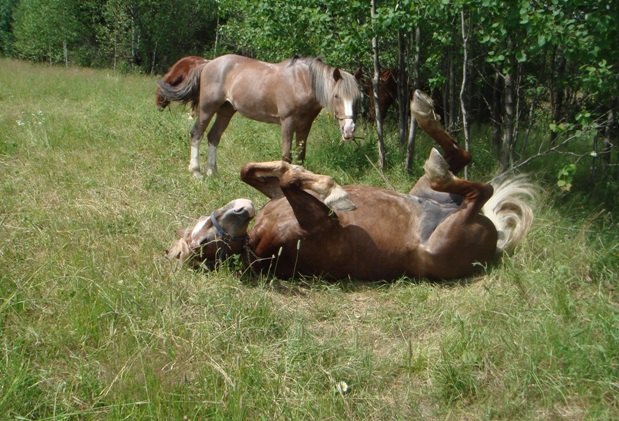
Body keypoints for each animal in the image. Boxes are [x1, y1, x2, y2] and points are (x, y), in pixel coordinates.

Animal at [159, 53, 364, 176]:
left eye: (358, 98)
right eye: (337, 96)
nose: (349, 130)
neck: (302, 82)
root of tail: (208, 63)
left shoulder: (306, 124)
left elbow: (300, 155)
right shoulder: (288, 122)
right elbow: (286, 156)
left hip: (226, 111)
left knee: (213, 137)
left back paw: (212, 172)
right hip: (207, 109)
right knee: (196, 134)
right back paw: (196, 172)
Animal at [166, 90, 536, 278]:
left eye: (201, 228)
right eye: (202, 247)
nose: (241, 210)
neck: (257, 241)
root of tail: (497, 240)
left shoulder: (274, 194)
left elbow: (262, 170)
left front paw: (317, 180)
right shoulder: (321, 222)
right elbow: (290, 179)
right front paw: (335, 192)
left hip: (424, 191)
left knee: (460, 154)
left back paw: (423, 111)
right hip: (446, 240)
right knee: (479, 190)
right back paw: (439, 169)